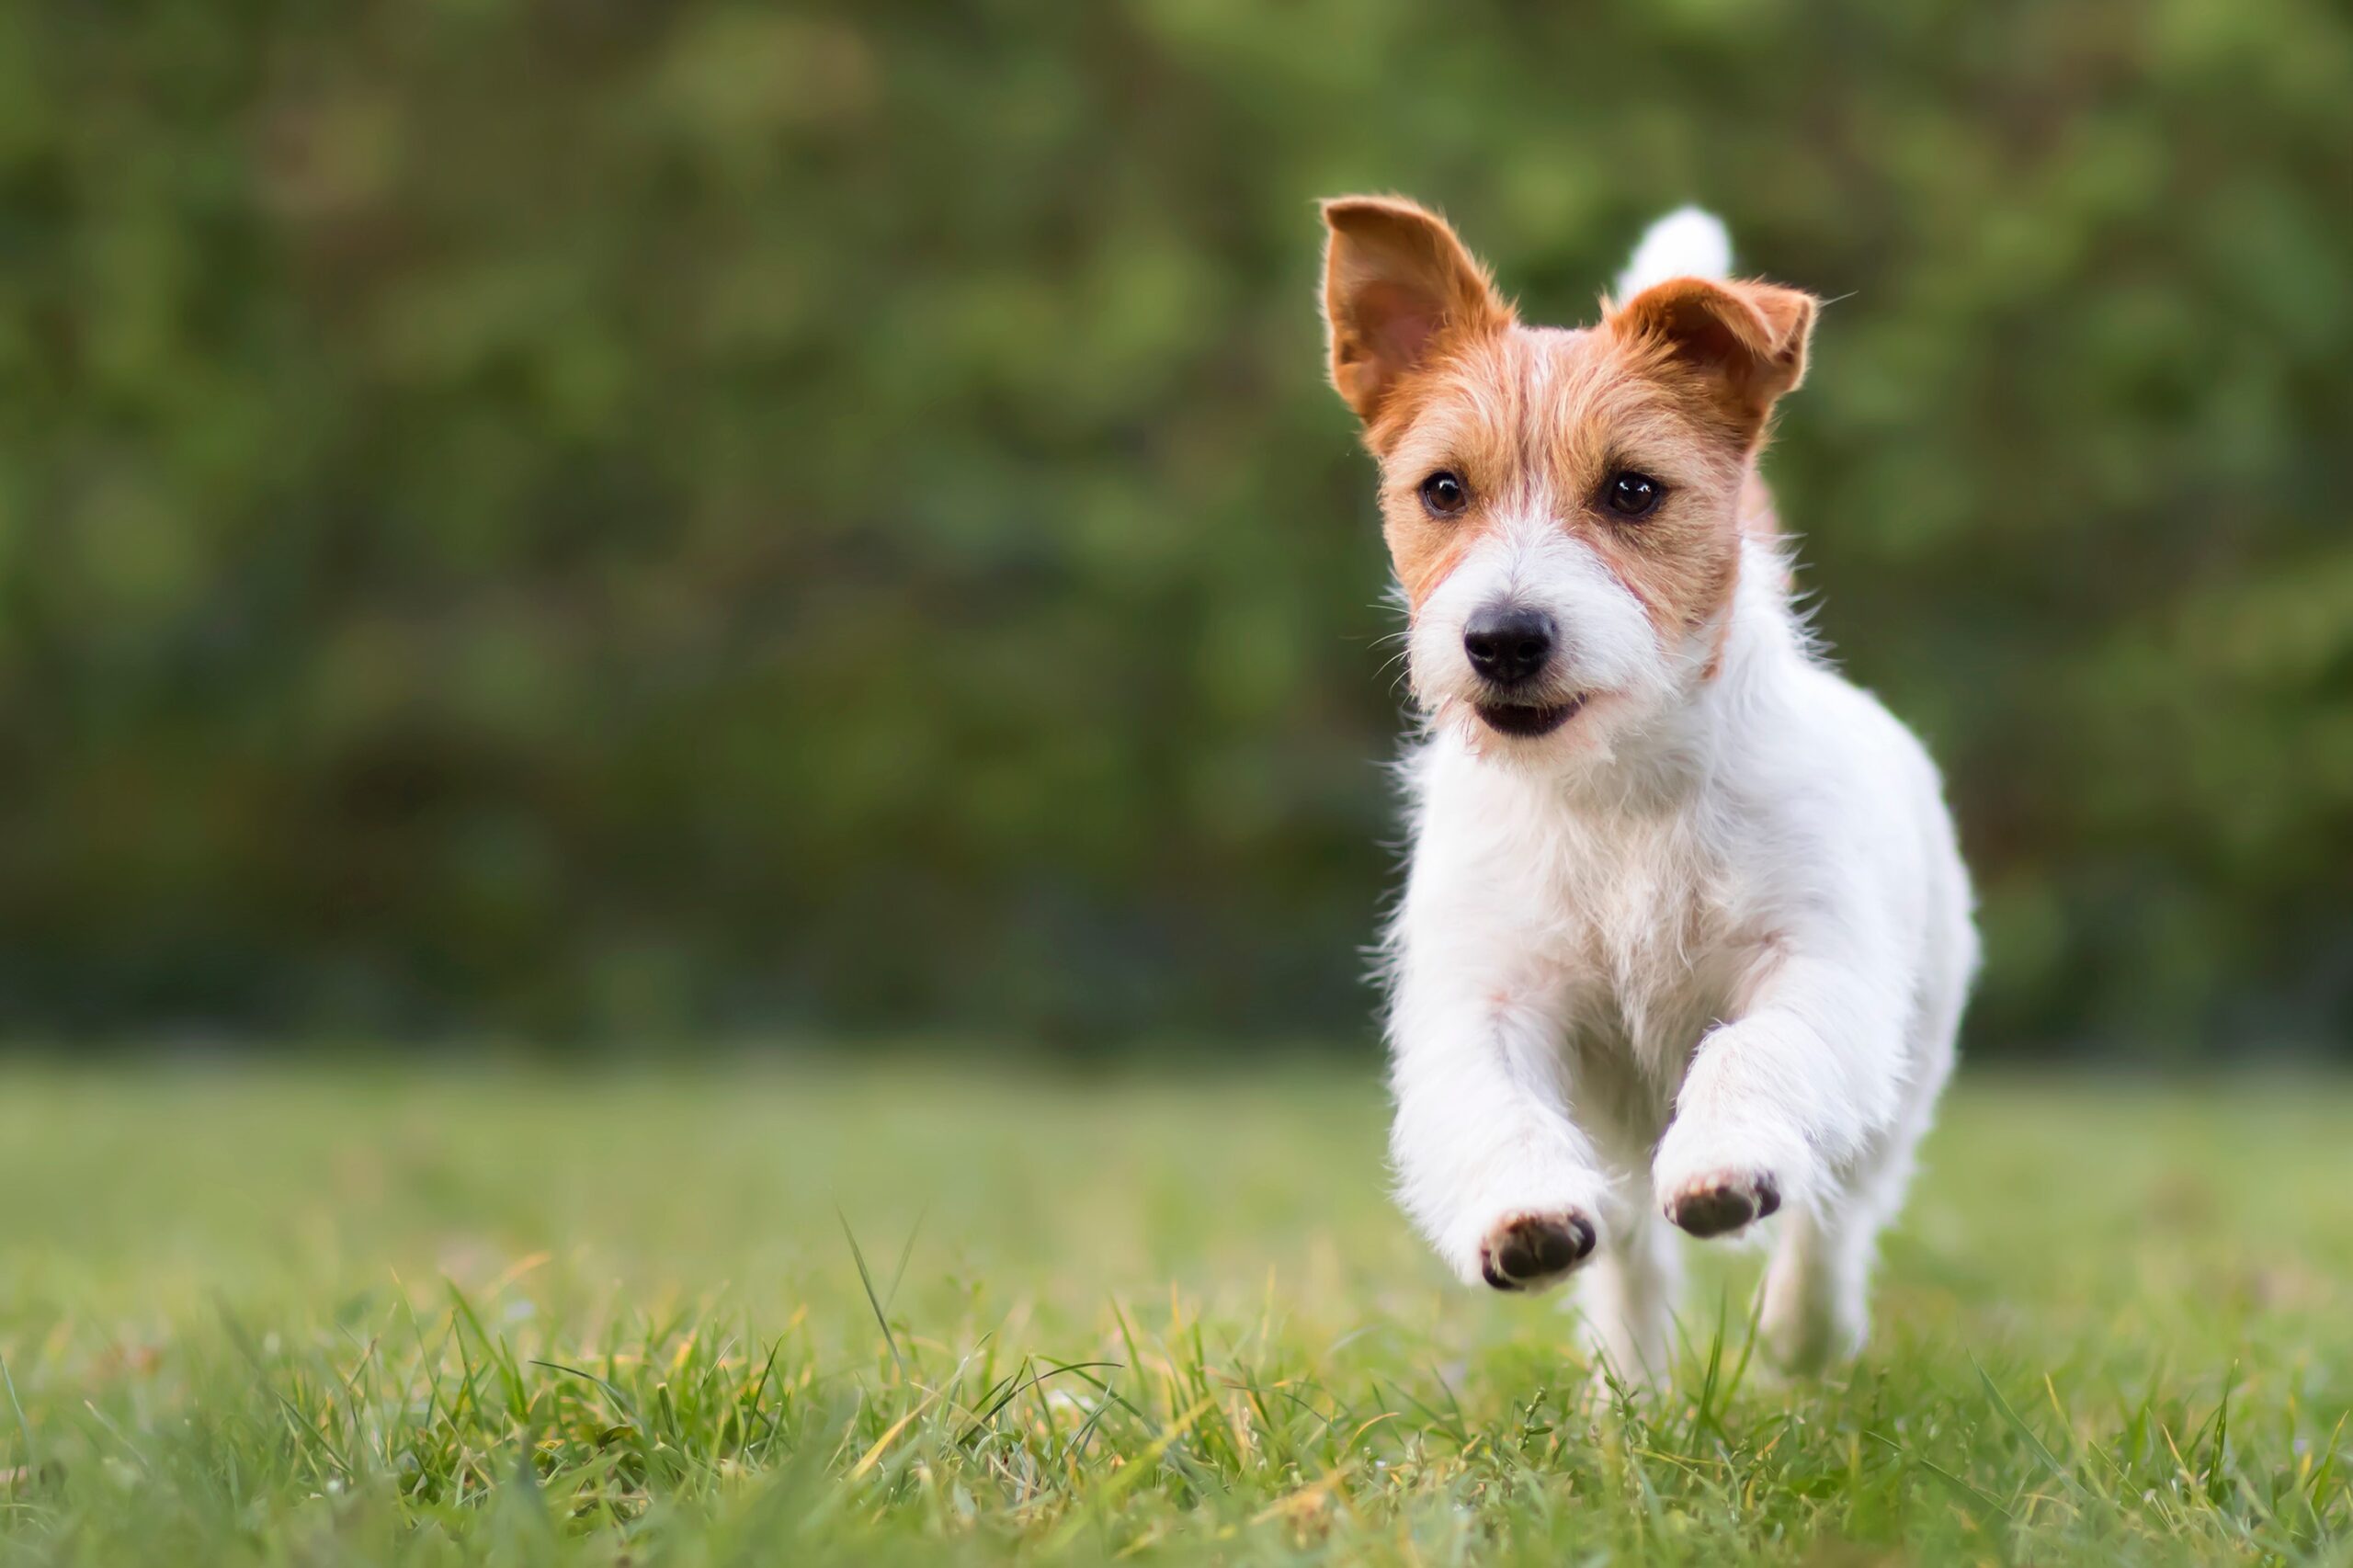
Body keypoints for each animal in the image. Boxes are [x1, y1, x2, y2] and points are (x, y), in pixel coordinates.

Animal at [1317, 199, 1976, 1384]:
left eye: (1632, 489)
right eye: (1443, 489)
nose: (1504, 637)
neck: (1613, 791)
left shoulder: (1812, 966)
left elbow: (1748, 1052)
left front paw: (1722, 1164)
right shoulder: (1489, 995)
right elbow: (1496, 1106)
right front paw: (1522, 1213)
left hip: (1904, 1058)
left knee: (1839, 1206)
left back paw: (1805, 1334)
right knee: (1626, 1250)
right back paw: (1629, 1389)